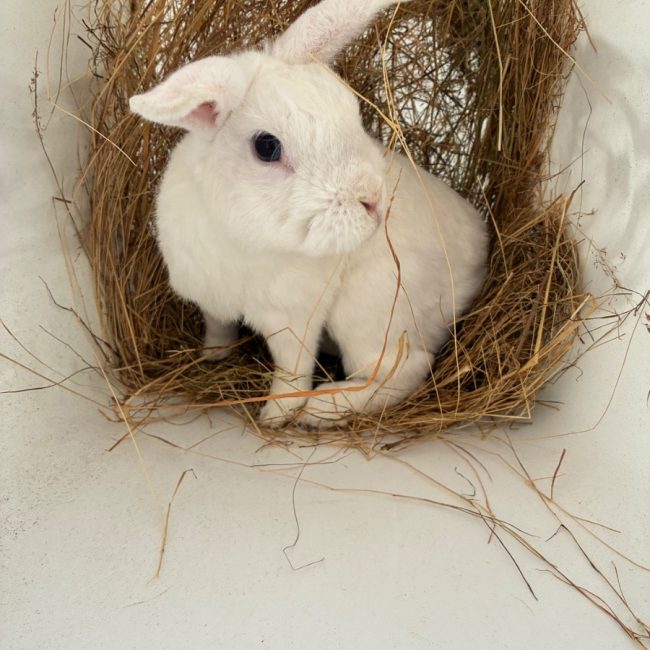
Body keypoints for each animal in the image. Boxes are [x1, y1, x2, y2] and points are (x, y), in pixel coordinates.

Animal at [129, 0, 489, 429]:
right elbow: (219, 330)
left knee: (406, 368)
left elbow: (292, 373)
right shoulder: (211, 302)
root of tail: (479, 261)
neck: (242, 237)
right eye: (267, 147)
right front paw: (212, 356)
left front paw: (275, 417)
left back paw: (322, 409)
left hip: (368, 312)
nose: (374, 201)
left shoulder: (293, 320)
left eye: (352, 112)